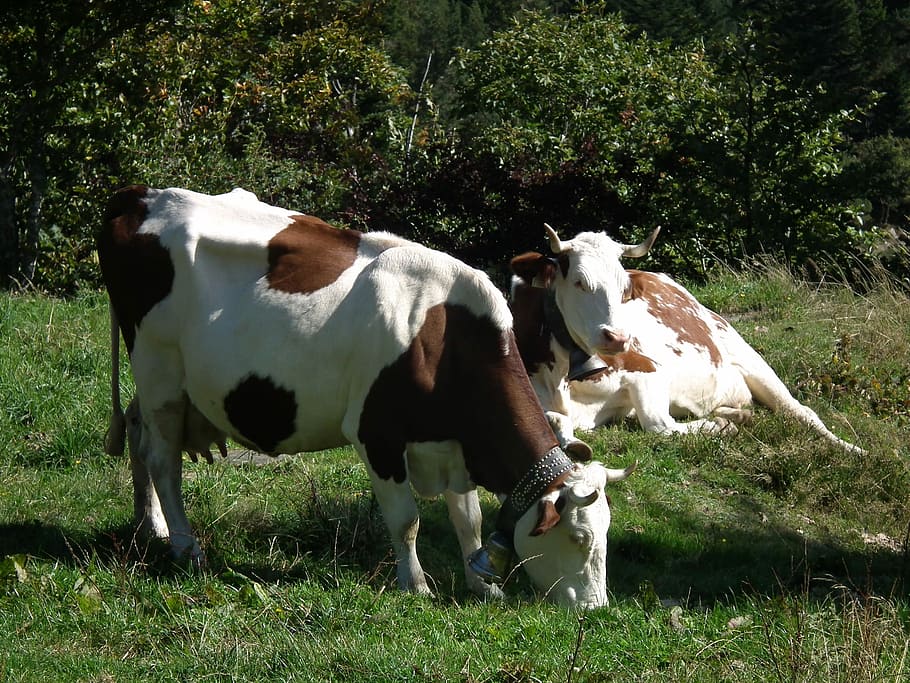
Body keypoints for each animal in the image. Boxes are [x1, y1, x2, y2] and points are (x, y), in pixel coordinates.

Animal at [97, 186, 635, 609]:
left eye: (609, 532)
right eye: (580, 536)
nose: (596, 609)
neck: (443, 336)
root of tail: (141, 195)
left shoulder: (452, 442)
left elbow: (469, 520)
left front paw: (483, 587)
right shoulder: (377, 434)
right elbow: (407, 520)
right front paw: (416, 585)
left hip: (163, 385)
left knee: (139, 435)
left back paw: (152, 527)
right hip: (160, 371)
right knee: (163, 459)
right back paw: (185, 546)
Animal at [509, 224, 865, 458]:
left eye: (624, 288)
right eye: (579, 282)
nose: (619, 337)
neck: (564, 378)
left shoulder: (649, 370)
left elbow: (658, 424)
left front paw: (717, 428)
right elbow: (555, 420)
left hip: (749, 358)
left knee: (801, 411)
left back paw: (853, 450)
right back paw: (735, 414)